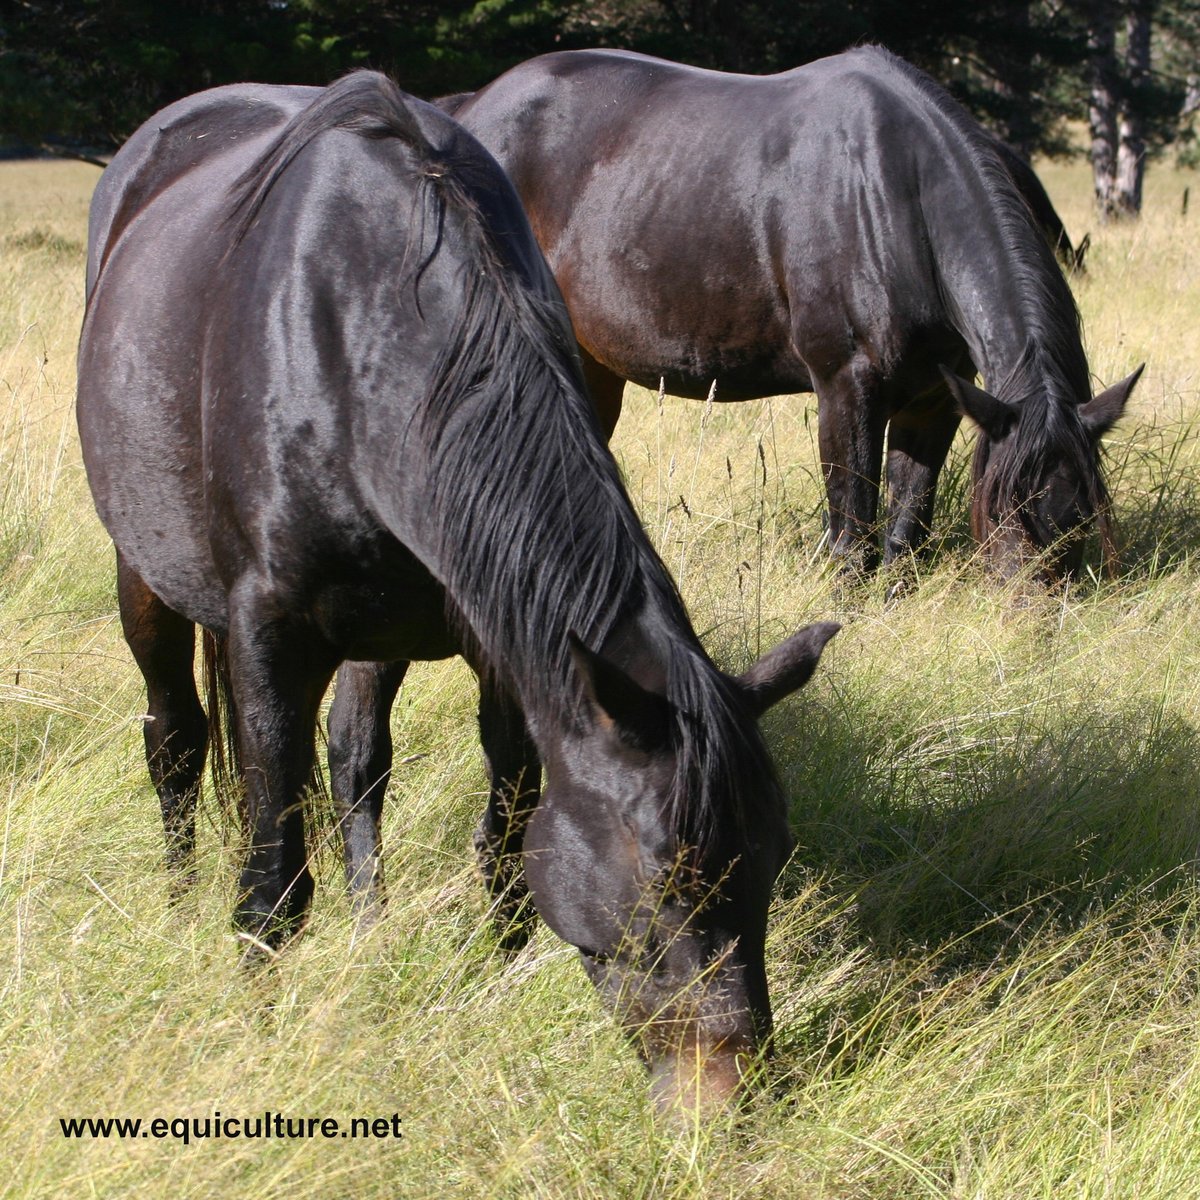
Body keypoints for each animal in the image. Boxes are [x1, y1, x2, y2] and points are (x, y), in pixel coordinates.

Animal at [77, 71, 839, 1112]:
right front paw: (256, 1029)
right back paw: (179, 897)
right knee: (175, 741)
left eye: (767, 869)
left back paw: (370, 929)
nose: (724, 1100)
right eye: (660, 889)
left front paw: (493, 982)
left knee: (356, 763)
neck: (360, 333)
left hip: (380, 635)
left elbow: (504, 843)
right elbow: (273, 880)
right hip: (145, 580)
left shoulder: (501, 645)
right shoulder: (268, 634)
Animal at [448, 46, 1142, 580]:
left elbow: (906, 528)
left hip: (592, 363)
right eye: (1002, 510)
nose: (1036, 613)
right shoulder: (845, 387)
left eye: (1080, 517)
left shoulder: (936, 399)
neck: (891, 195)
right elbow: (851, 533)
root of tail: (469, 107)